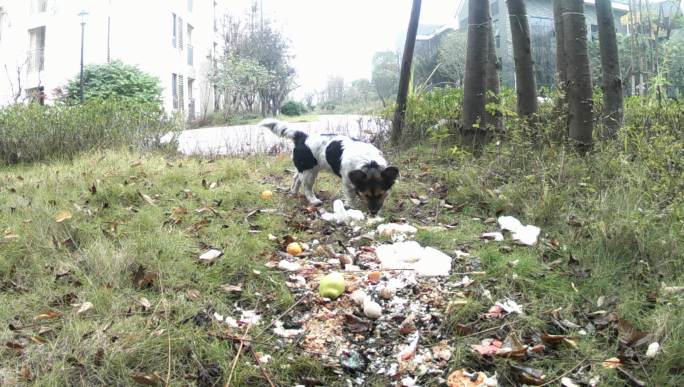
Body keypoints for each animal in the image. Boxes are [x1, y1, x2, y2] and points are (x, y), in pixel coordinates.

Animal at [258, 118, 398, 215]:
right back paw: (314, 200)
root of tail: (303, 137)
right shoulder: (347, 182)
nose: (374, 213)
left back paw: (294, 191)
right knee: (307, 188)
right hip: (309, 173)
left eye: (381, 194)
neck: (369, 163)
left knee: (296, 178)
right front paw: (351, 207)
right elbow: (351, 196)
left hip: (304, 168)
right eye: (367, 195)